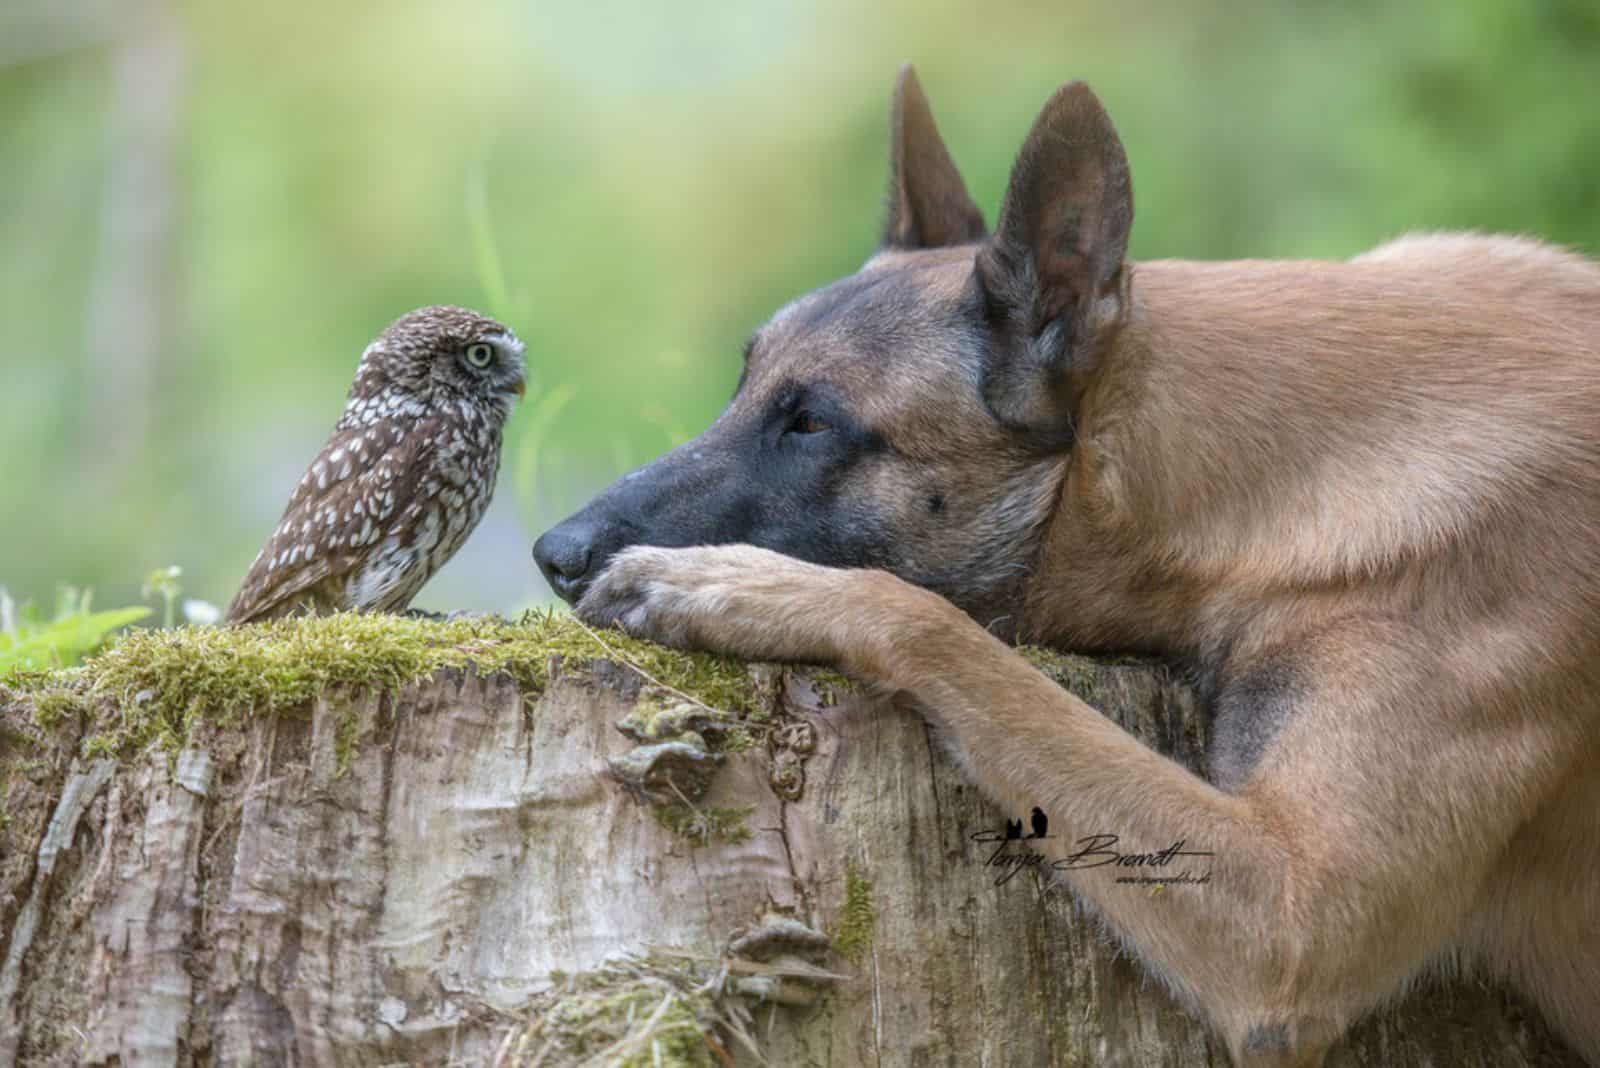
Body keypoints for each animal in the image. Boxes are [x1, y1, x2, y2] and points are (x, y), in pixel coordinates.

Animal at [537, 68, 1600, 1068]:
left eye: (812, 423)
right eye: (744, 385)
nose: (553, 554)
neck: (1271, 479)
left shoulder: (1293, 920)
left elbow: (938, 628)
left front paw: (732, 584)